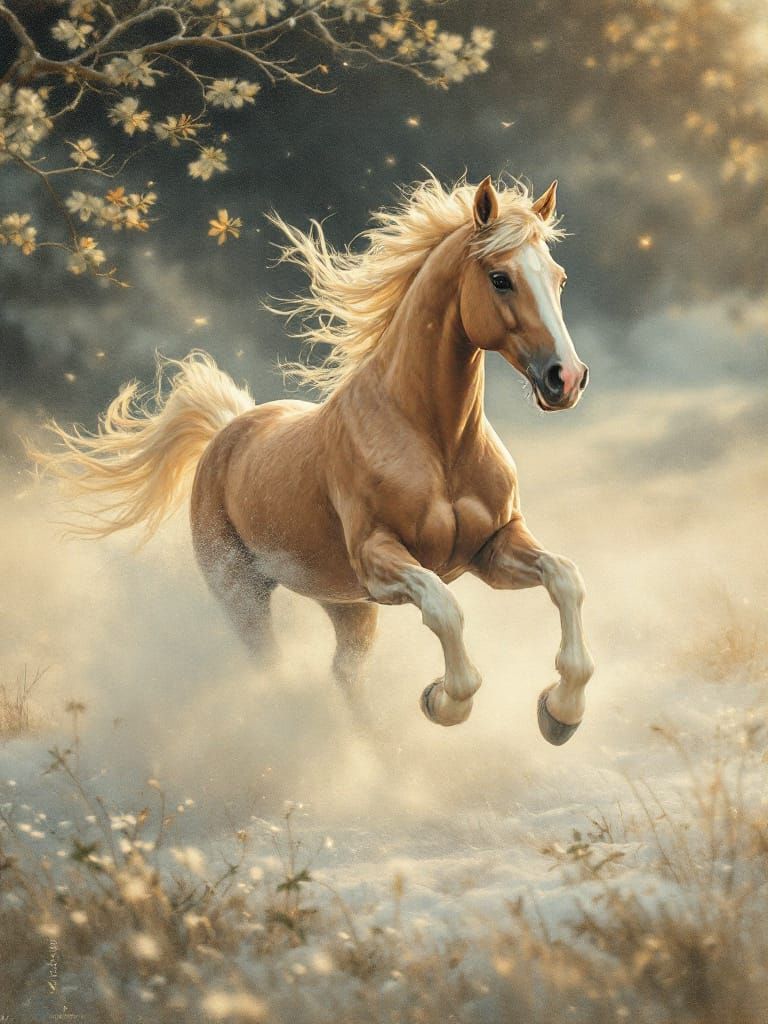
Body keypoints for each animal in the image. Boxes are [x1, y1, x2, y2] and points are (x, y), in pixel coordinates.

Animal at [32, 174, 594, 745]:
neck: (436, 441)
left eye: (560, 278)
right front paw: (442, 700)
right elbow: (444, 608)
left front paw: (559, 713)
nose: (566, 378)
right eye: (500, 278)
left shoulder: (491, 547)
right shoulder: (380, 561)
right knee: (269, 667)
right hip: (243, 593)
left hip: (344, 605)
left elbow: (565, 578)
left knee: (344, 675)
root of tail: (228, 431)